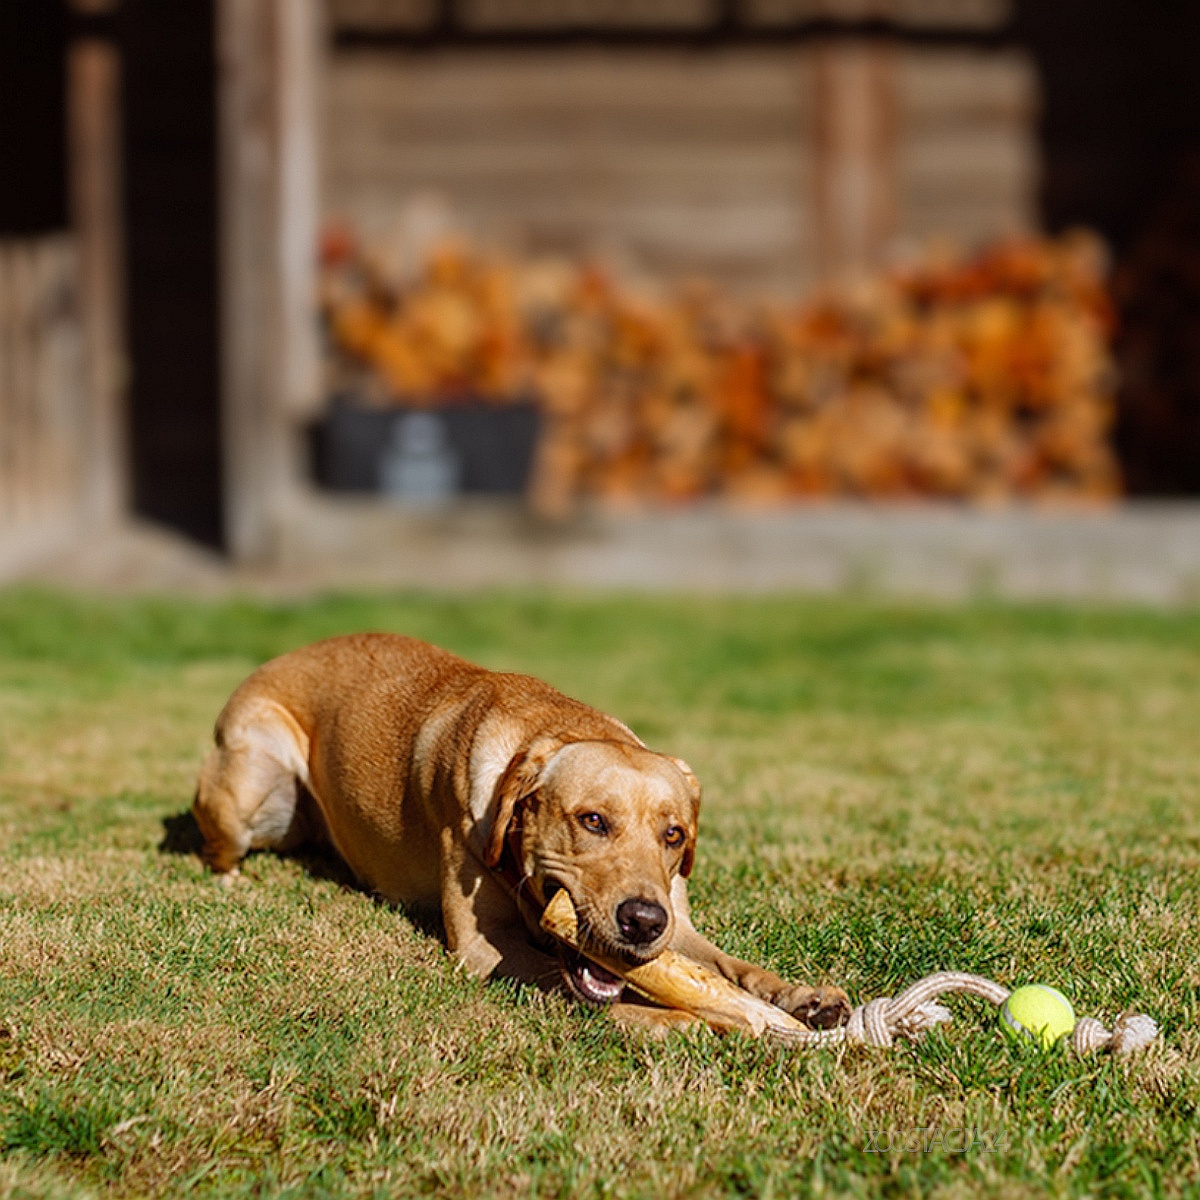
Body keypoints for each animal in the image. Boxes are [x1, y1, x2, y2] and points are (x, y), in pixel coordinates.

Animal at [194, 633, 854, 1036]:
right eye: (592, 820)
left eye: (673, 835)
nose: (642, 922)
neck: (551, 728)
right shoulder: (486, 948)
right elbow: (598, 994)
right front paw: (689, 1023)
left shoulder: (679, 922)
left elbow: (731, 965)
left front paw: (799, 996)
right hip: (253, 782)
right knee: (219, 849)